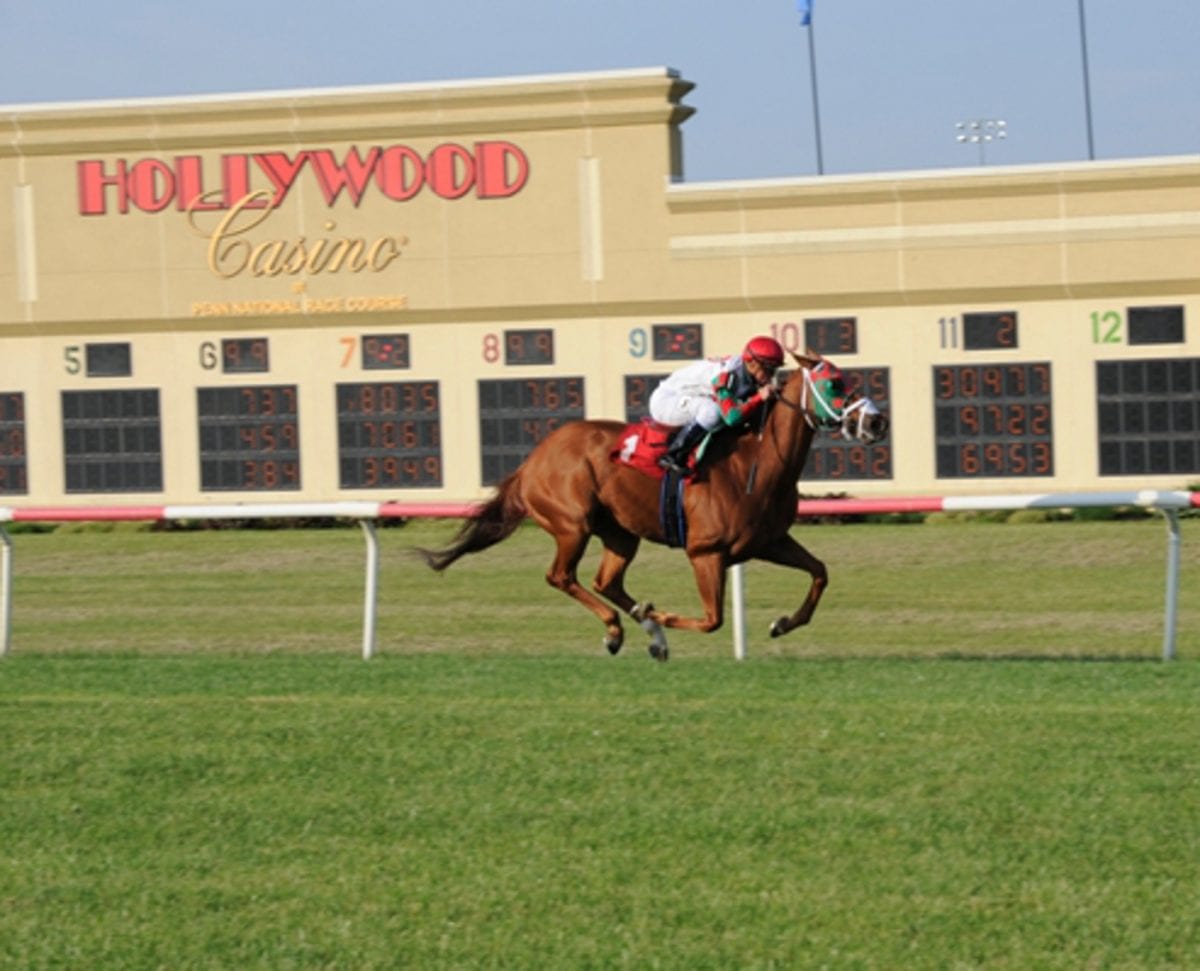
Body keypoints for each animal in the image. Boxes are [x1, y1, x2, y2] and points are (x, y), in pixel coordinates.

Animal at [417, 352, 888, 662]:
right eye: (834, 384)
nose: (877, 421)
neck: (755, 462)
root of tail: (532, 459)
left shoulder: (767, 541)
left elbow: (820, 573)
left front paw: (782, 623)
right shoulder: (706, 552)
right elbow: (713, 618)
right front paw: (654, 612)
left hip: (620, 533)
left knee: (605, 581)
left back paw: (641, 633)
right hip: (572, 523)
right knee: (562, 576)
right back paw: (621, 628)